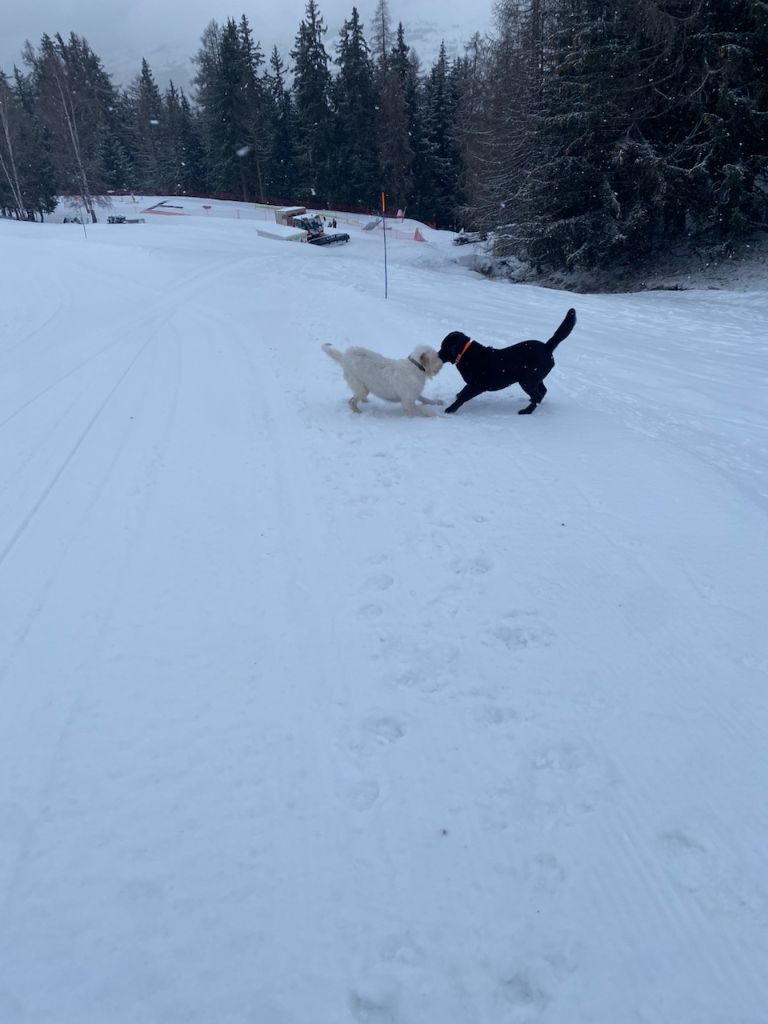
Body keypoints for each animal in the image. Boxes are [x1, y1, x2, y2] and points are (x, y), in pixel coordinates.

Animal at [438, 305, 577, 413]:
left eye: (443, 347)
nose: (437, 355)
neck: (465, 353)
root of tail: (547, 347)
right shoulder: (472, 384)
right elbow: (462, 392)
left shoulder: (477, 386)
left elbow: (463, 398)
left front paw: (450, 409)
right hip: (536, 379)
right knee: (542, 391)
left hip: (527, 381)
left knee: (537, 395)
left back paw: (526, 411)